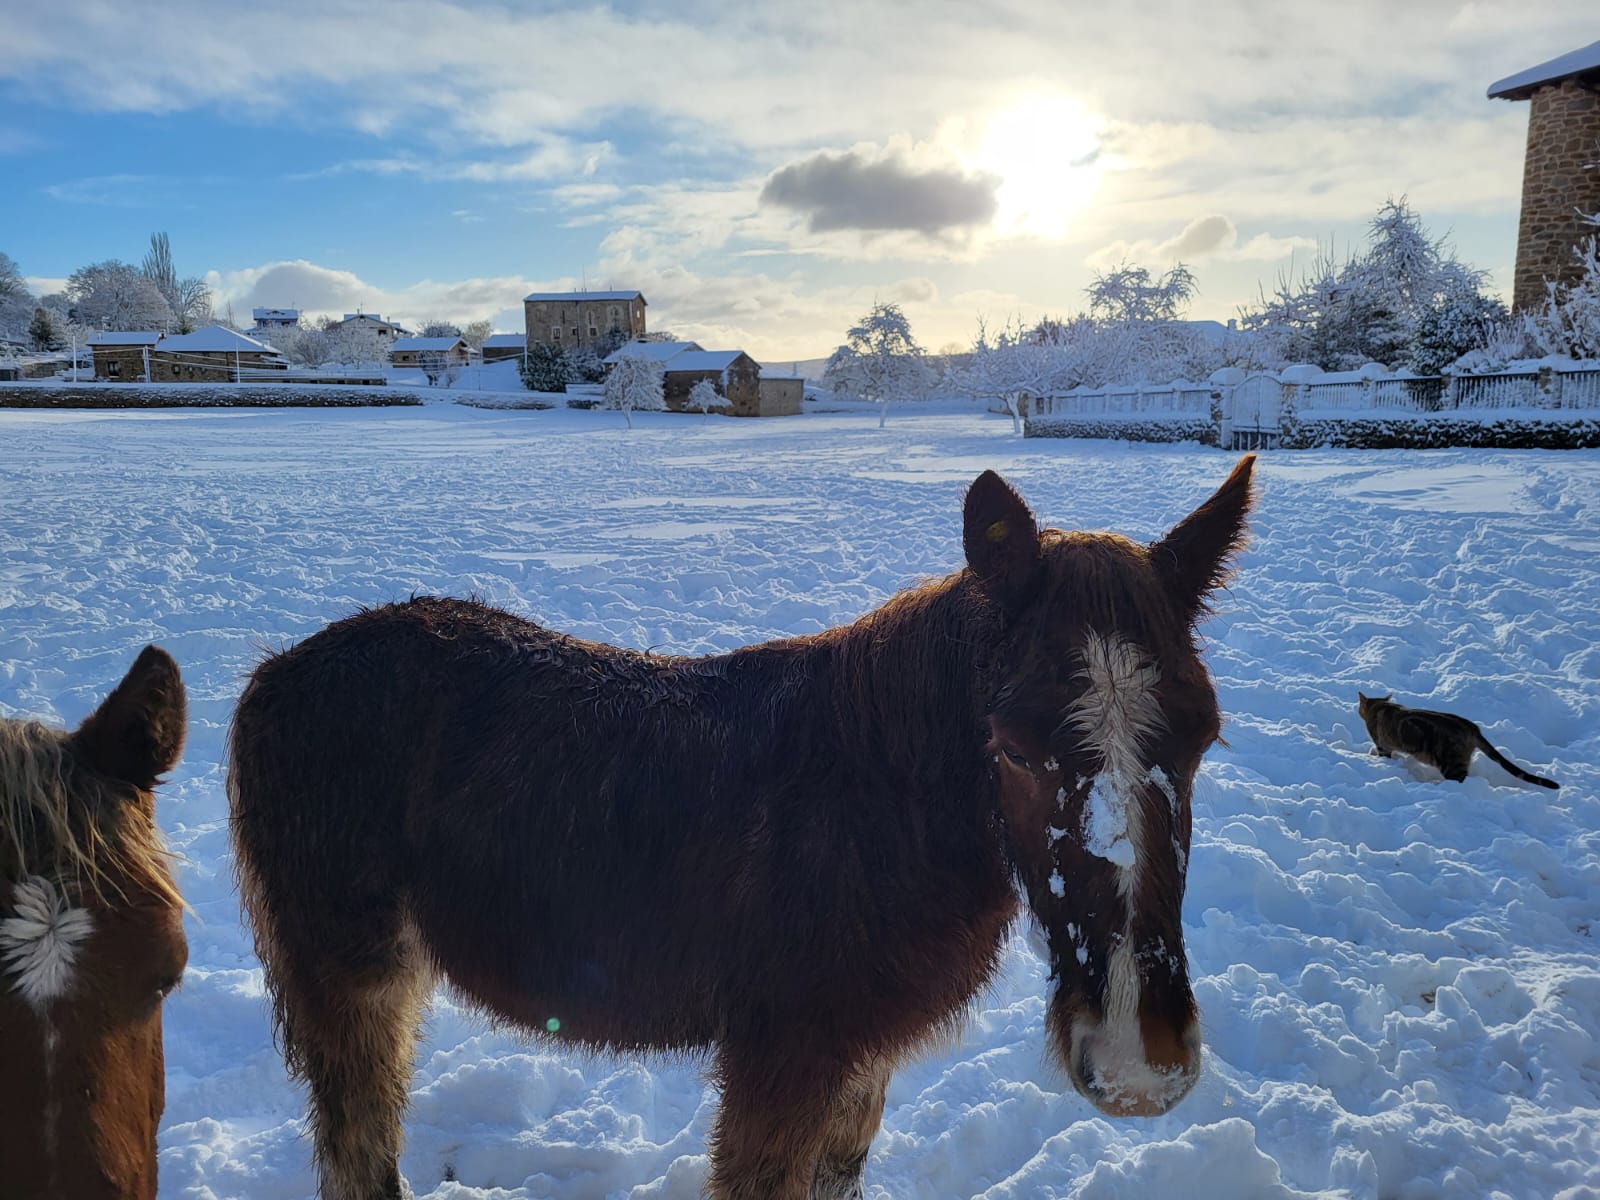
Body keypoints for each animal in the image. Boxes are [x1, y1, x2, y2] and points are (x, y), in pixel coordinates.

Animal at [1356, 694, 1555, 790]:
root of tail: (1472, 727)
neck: (1380, 706)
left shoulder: (1382, 745)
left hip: (1450, 763)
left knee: (1460, 779)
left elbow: (1382, 753)